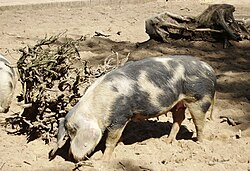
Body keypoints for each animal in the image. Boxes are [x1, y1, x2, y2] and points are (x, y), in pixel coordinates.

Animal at [49, 55, 217, 162]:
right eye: (69, 134)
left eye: (75, 131)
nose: (72, 157)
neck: (98, 109)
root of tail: (211, 70)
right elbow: (118, 137)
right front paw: (120, 144)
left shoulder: (120, 116)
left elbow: (110, 140)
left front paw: (102, 161)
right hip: (179, 102)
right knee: (179, 118)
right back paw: (167, 141)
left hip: (199, 98)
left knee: (199, 123)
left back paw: (199, 144)